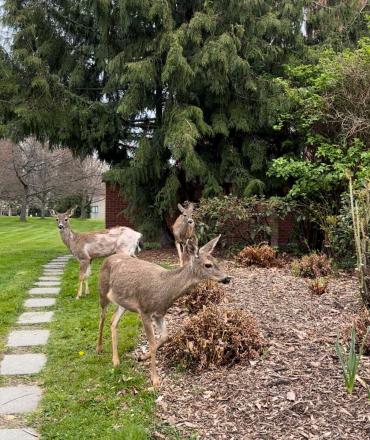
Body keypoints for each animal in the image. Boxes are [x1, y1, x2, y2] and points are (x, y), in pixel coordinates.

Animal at [95, 235, 230, 386]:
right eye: (208, 264)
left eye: (216, 261)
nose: (227, 278)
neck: (165, 290)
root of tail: (107, 258)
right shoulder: (144, 310)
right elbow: (152, 343)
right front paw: (155, 379)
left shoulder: (159, 314)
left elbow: (165, 336)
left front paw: (142, 357)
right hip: (102, 290)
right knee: (102, 316)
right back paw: (99, 348)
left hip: (123, 302)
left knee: (113, 321)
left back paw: (116, 360)